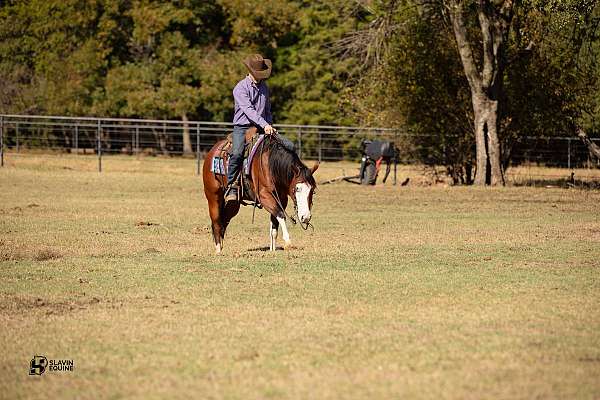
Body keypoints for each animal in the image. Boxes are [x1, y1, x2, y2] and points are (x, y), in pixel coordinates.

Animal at [203, 126, 318, 255]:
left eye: (312, 190)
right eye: (297, 188)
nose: (305, 217)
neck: (271, 165)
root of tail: (212, 152)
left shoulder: (281, 199)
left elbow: (274, 223)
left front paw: (273, 249)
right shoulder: (264, 196)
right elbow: (280, 214)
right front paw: (288, 242)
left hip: (234, 203)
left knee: (225, 219)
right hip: (213, 196)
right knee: (216, 221)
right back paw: (218, 249)